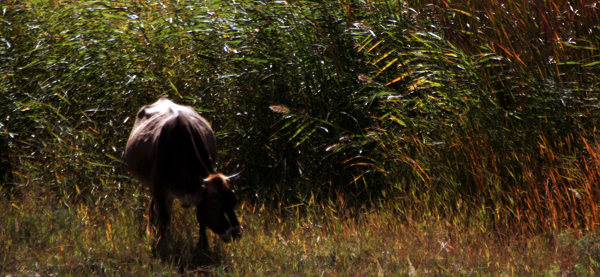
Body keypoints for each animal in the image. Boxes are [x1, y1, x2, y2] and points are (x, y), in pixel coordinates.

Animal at [125, 96, 243, 249]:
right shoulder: (159, 188)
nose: (236, 233)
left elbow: (200, 218)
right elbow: (164, 218)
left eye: (234, 200)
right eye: (215, 204)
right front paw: (162, 246)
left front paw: (203, 245)